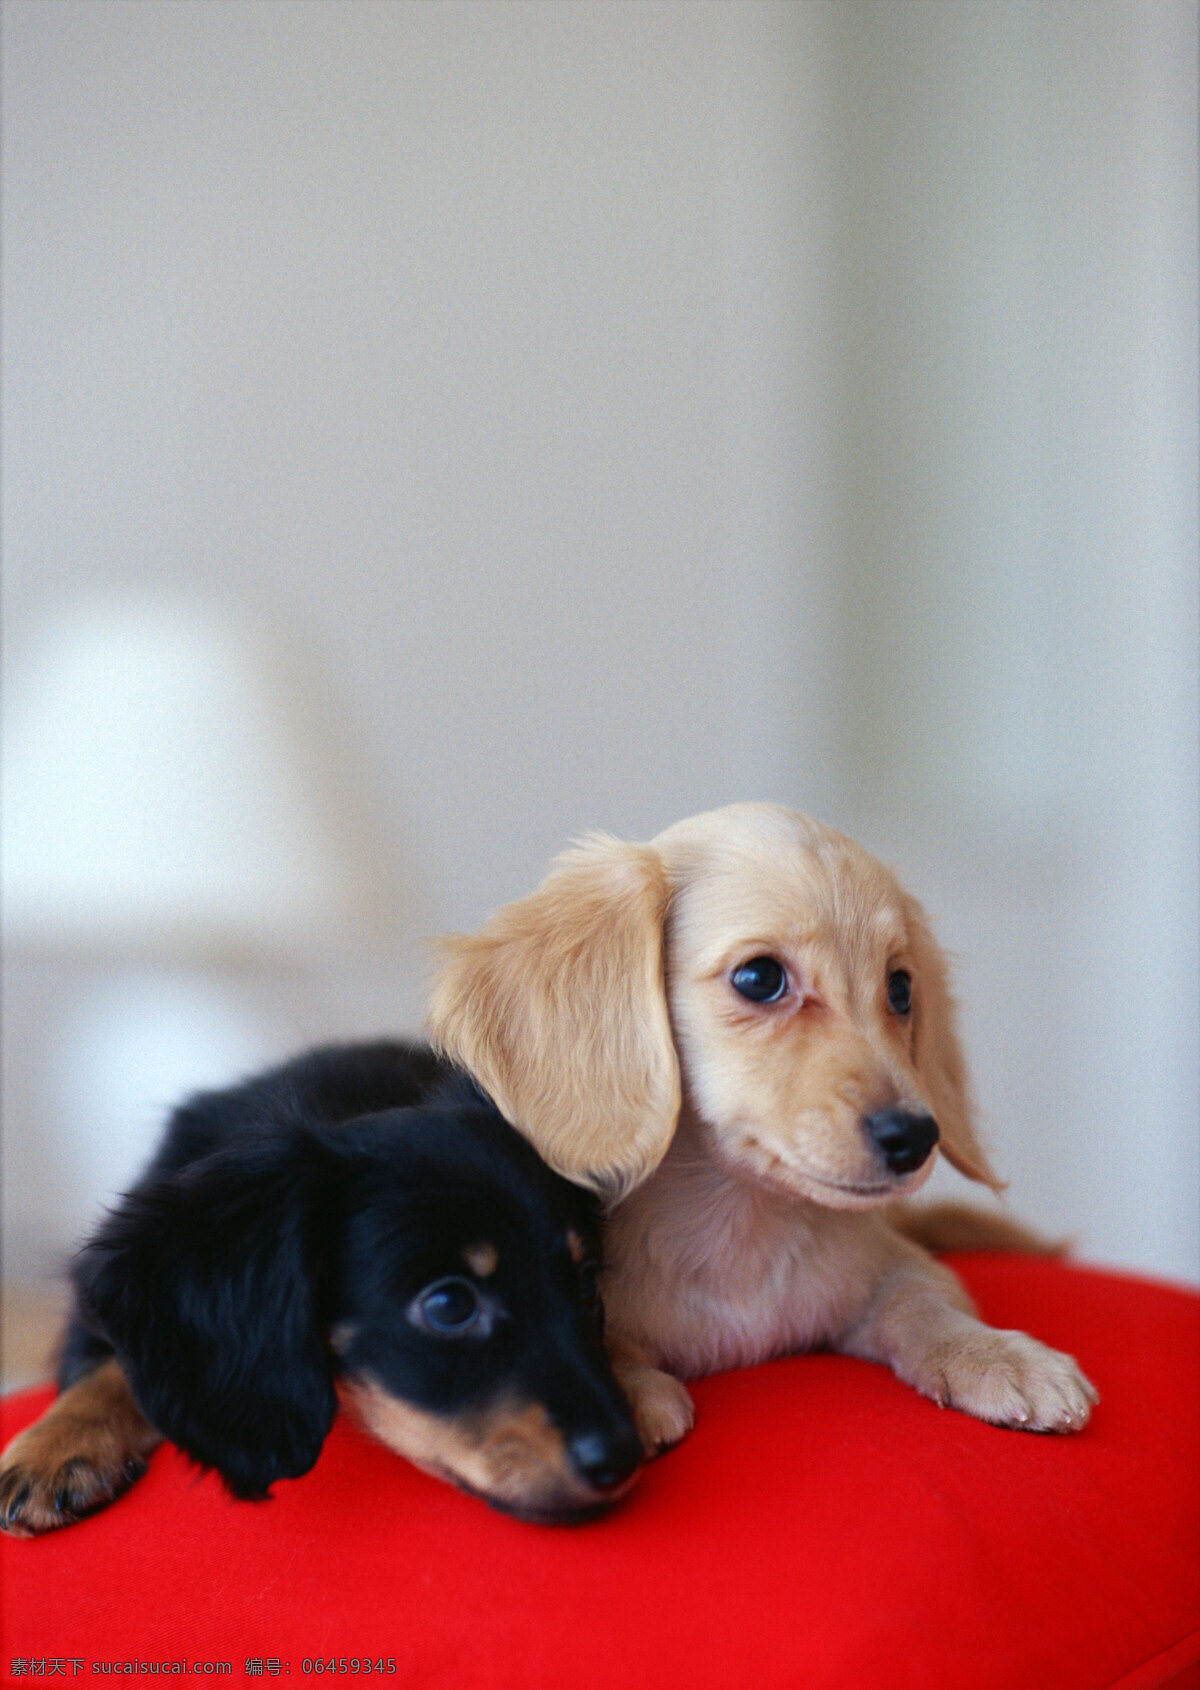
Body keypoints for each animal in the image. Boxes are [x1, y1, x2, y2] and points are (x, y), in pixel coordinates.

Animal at [429, 804, 1101, 1453]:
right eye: (759, 977)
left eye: (901, 988)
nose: (915, 1138)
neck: (742, 1231)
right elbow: (602, 1339)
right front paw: (630, 1390)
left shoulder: (891, 1270)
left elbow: (923, 1304)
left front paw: (996, 1353)